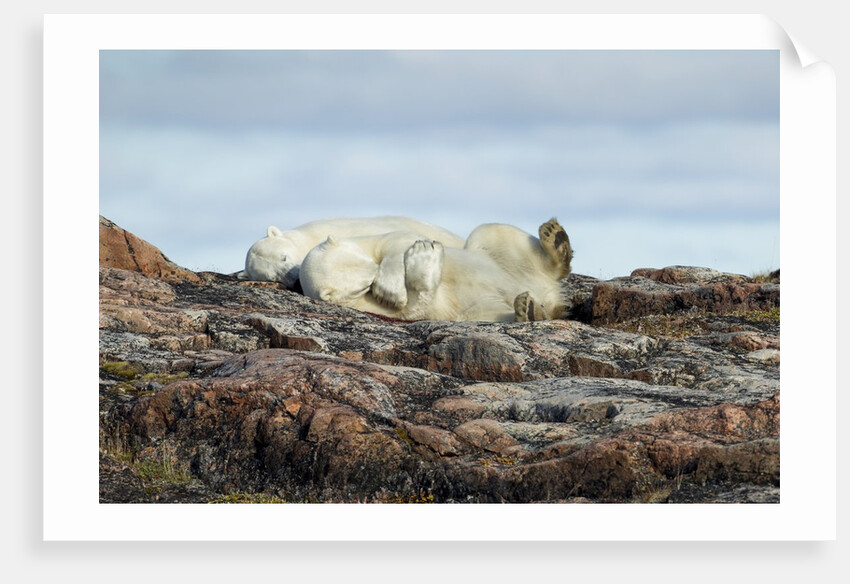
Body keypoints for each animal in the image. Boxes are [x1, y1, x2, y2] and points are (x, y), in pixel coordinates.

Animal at [299, 218, 573, 322]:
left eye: (371, 264)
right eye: (365, 285)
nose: (376, 282)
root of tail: (548, 292)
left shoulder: (369, 239)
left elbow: (399, 240)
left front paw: (420, 252)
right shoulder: (365, 307)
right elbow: (415, 309)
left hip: (500, 259)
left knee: (490, 232)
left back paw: (555, 240)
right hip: (481, 308)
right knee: (486, 313)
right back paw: (529, 309)